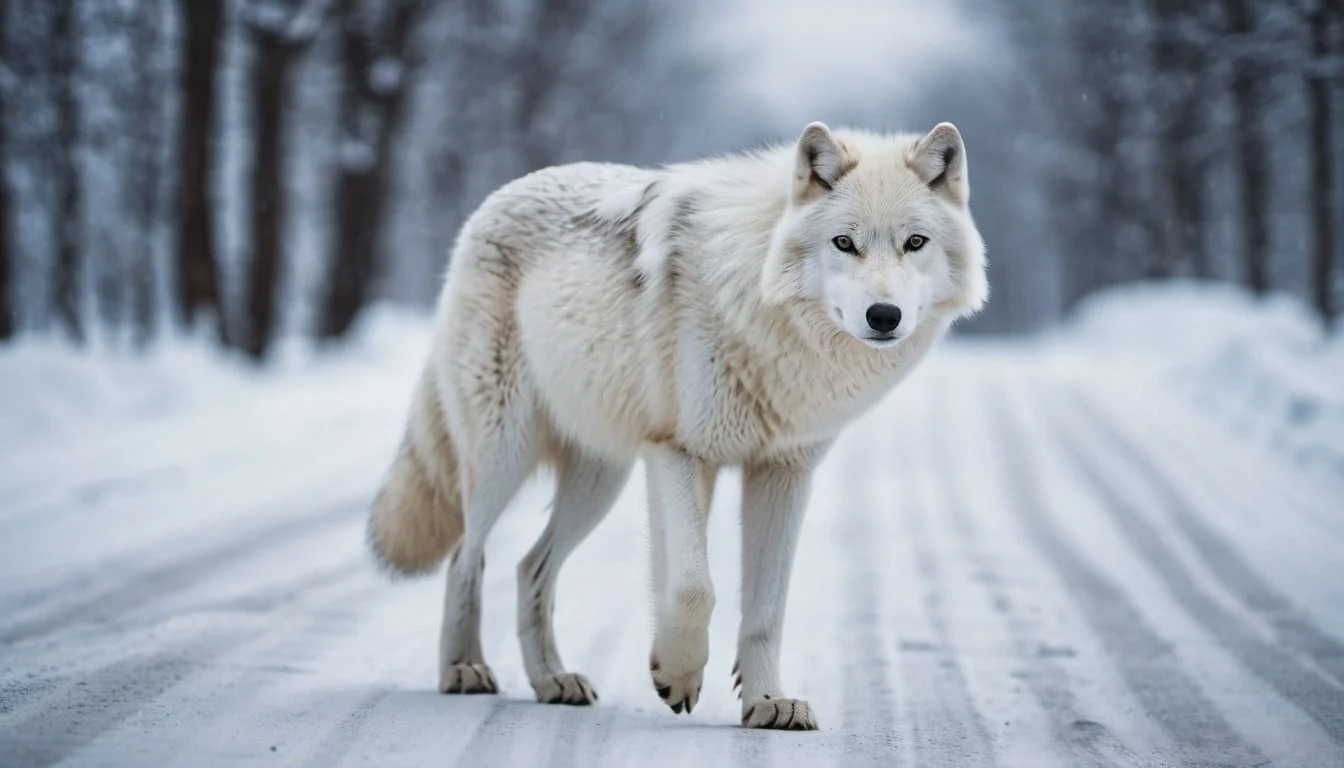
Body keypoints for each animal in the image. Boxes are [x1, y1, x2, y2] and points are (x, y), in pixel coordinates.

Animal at [367, 121, 987, 730]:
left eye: (914, 243)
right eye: (844, 243)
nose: (884, 316)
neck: (762, 306)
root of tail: (494, 200)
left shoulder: (783, 472)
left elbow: (764, 607)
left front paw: (768, 702)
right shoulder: (680, 452)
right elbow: (694, 585)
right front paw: (678, 674)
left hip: (600, 480)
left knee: (528, 567)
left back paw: (552, 681)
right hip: (503, 456)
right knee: (466, 556)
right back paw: (463, 669)